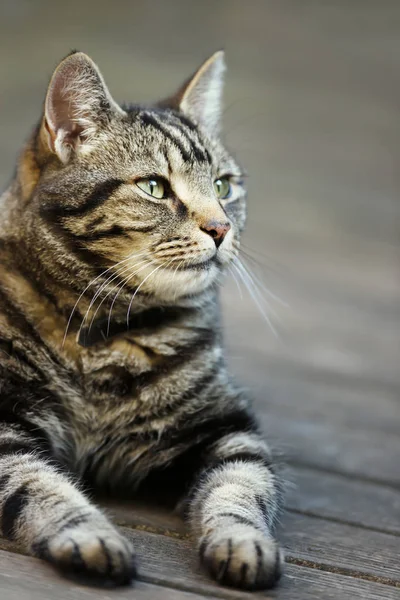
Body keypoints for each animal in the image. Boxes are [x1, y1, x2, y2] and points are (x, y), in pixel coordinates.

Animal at [0, 51, 282, 592]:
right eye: (154, 187)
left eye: (223, 185)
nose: (221, 227)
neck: (109, 332)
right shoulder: (3, 425)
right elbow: (38, 485)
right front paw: (89, 536)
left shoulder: (224, 428)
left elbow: (240, 488)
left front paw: (243, 544)